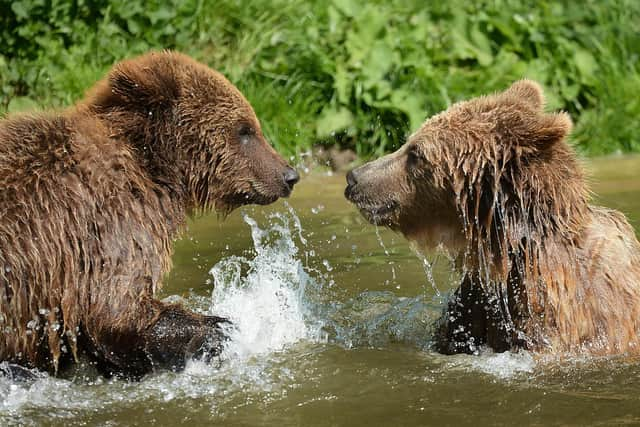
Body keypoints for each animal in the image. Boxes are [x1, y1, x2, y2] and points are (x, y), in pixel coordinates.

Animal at [0, 51, 300, 378]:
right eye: (244, 130)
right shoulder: (108, 219)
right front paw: (219, 327)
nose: (289, 175)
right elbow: (116, 310)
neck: (152, 165)